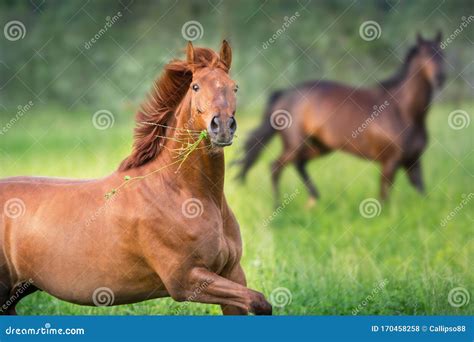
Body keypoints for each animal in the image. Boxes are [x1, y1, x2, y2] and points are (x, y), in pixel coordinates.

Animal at [0, 40, 272, 316]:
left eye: (234, 86)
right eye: (195, 86)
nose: (223, 127)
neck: (185, 194)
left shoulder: (232, 273)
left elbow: (258, 302)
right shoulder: (185, 281)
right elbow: (258, 301)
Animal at [239, 32, 446, 206]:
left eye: (442, 54)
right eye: (424, 55)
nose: (440, 78)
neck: (403, 111)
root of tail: (284, 94)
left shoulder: (413, 161)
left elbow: (422, 192)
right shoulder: (390, 162)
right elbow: (384, 196)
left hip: (320, 146)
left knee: (299, 164)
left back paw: (314, 199)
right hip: (294, 145)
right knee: (275, 167)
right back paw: (277, 206)